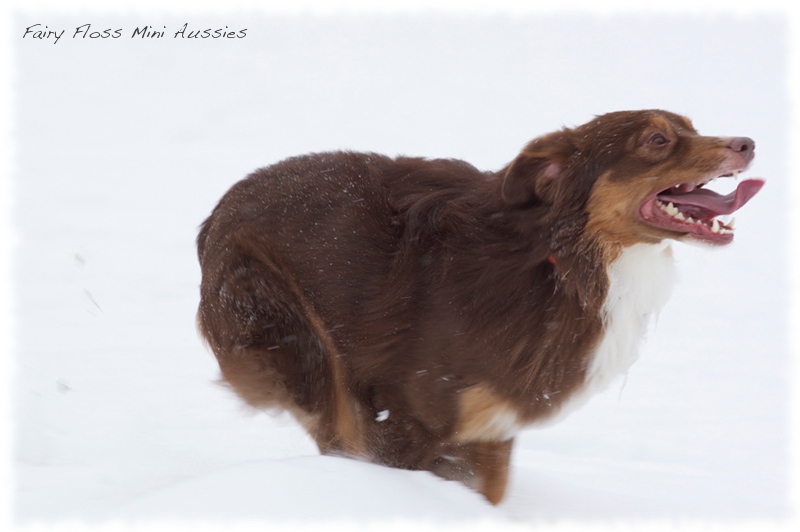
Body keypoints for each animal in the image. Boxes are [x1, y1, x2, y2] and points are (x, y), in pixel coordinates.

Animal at [194, 111, 764, 502]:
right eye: (657, 140)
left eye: (691, 125)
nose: (749, 143)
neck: (564, 263)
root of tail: (216, 211)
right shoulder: (404, 416)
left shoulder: (491, 426)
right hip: (297, 343)